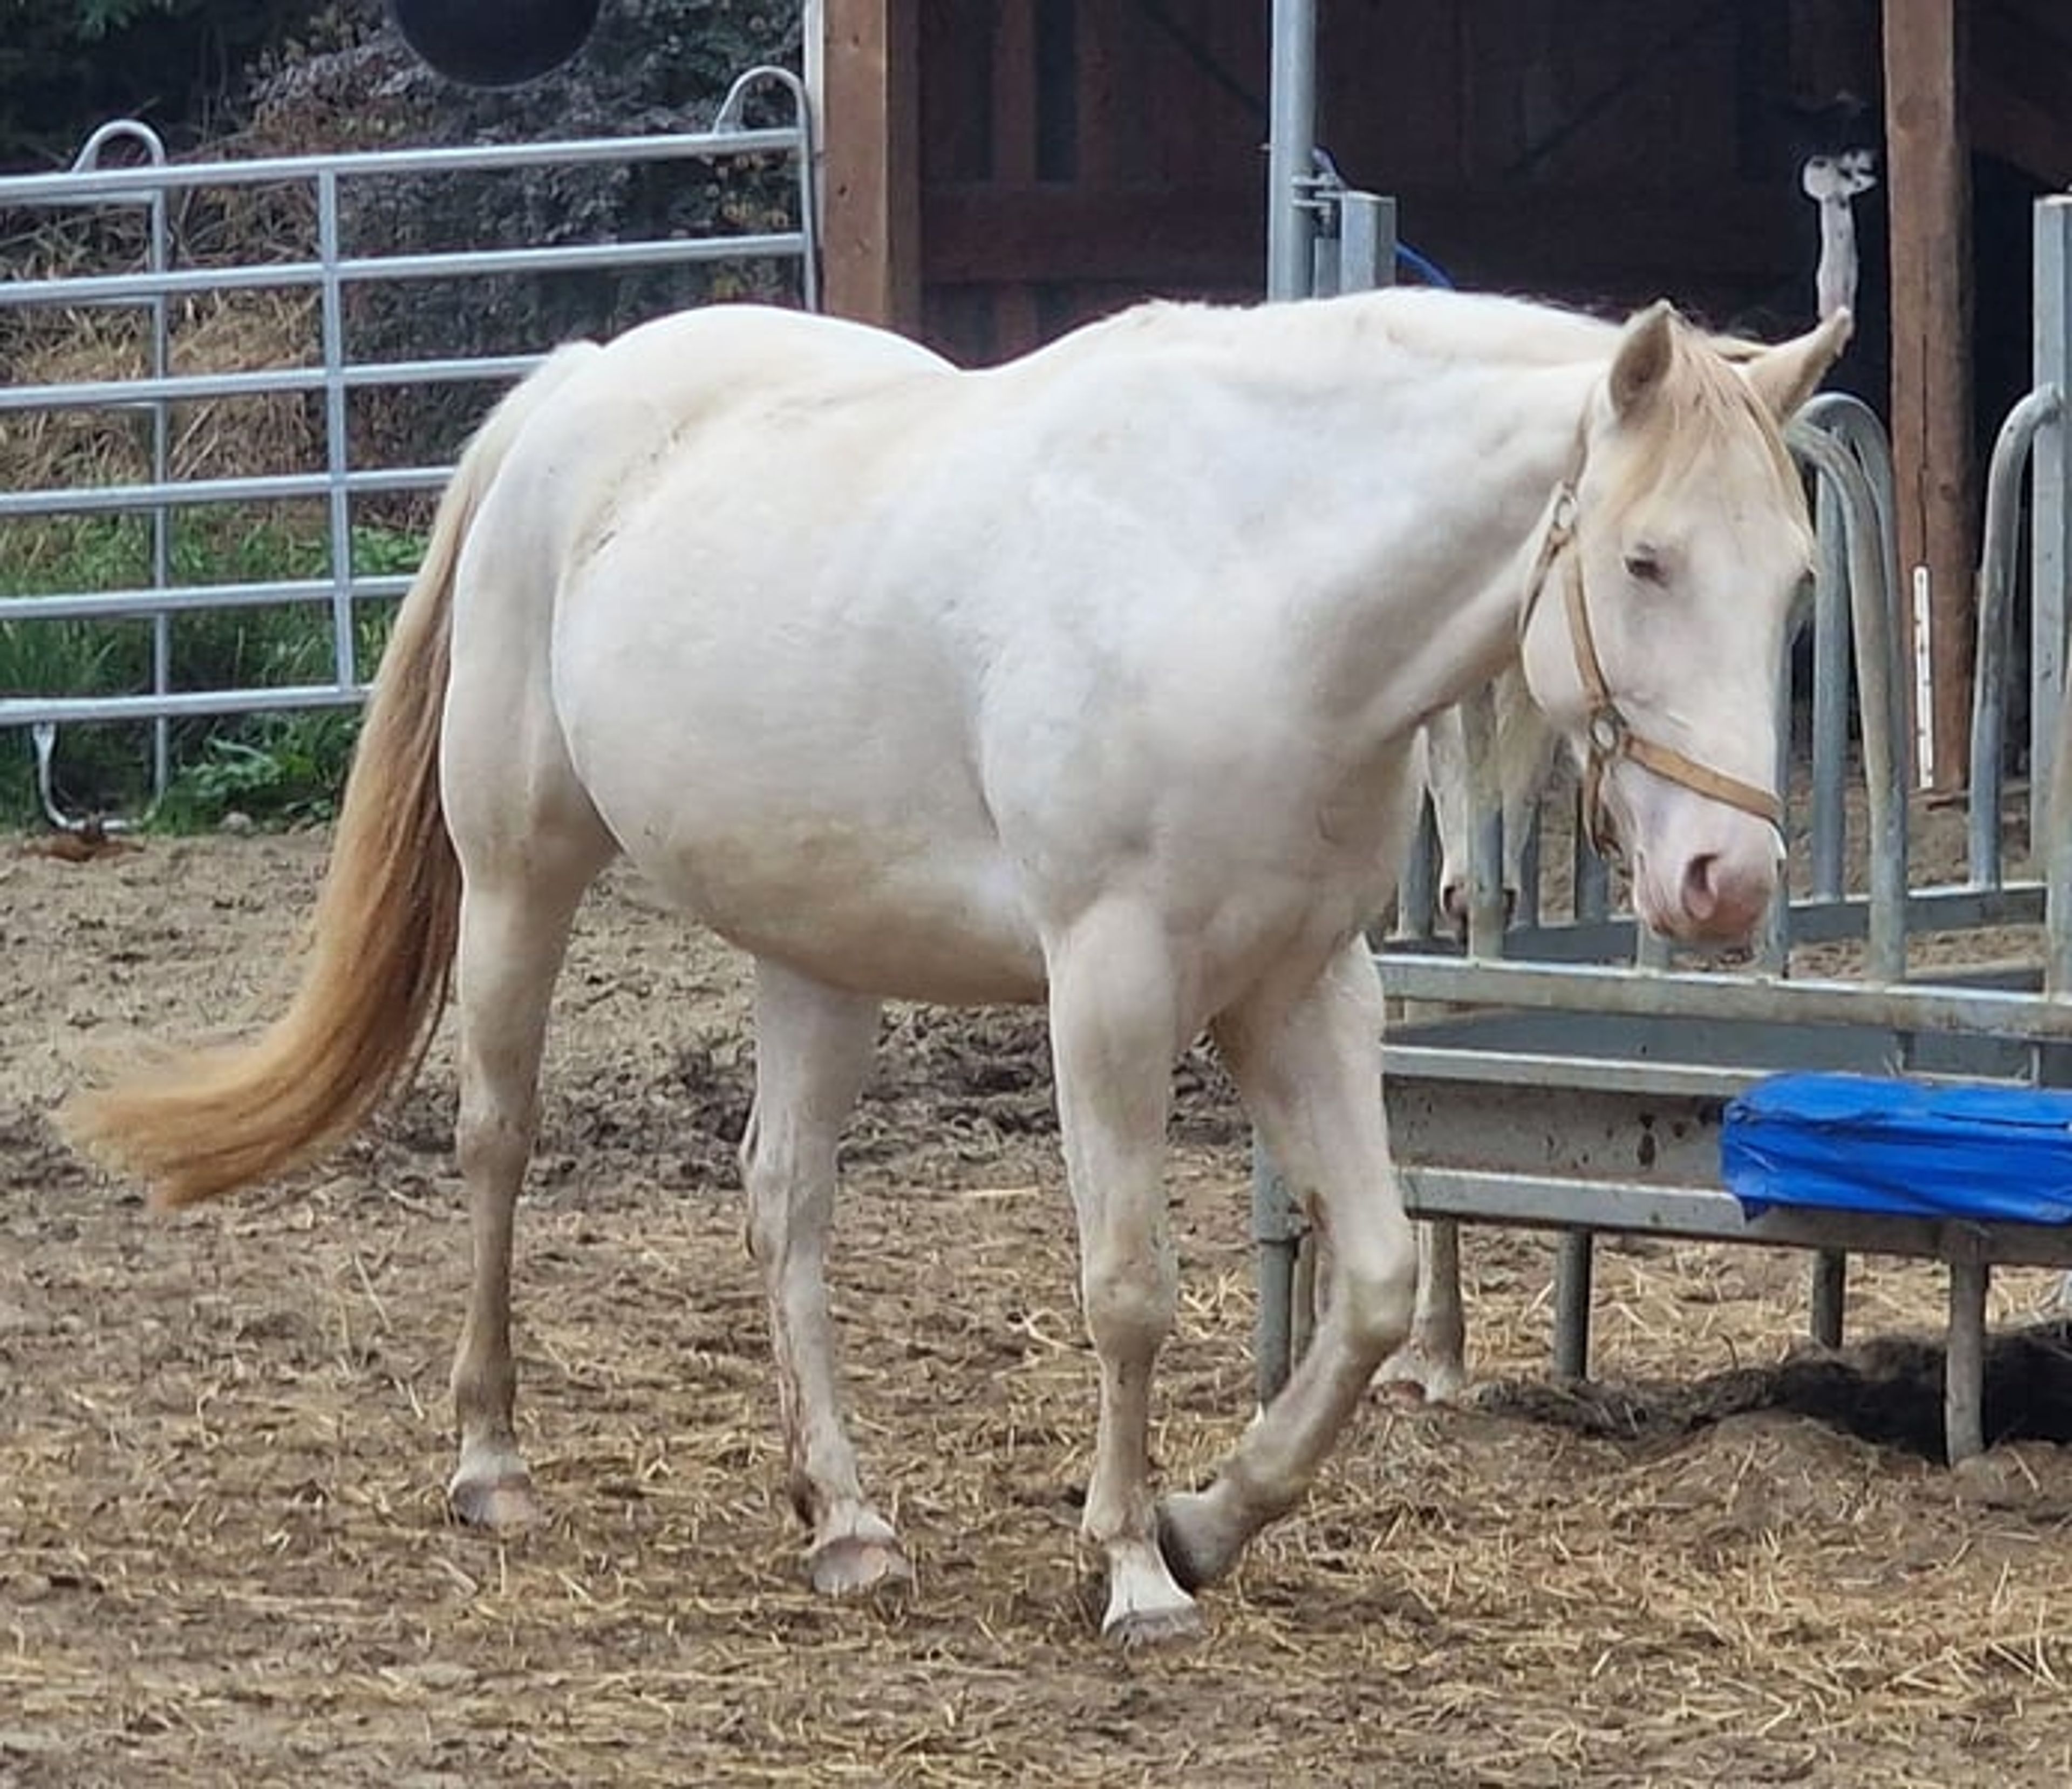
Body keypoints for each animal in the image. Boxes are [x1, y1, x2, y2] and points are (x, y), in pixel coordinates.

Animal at [60, 288, 1846, 1645]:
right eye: (1643, 562)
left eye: (1792, 580)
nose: (1728, 878)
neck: (1243, 579)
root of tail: (572, 389)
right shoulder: (1109, 986)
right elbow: (1128, 1286)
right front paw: (1133, 1567)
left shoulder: (1302, 987)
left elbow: (1377, 1280)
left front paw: (1208, 1519)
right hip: (519, 877)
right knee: (498, 1140)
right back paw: (493, 1461)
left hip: (813, 950)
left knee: (782, 1203)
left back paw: (845, 1518)